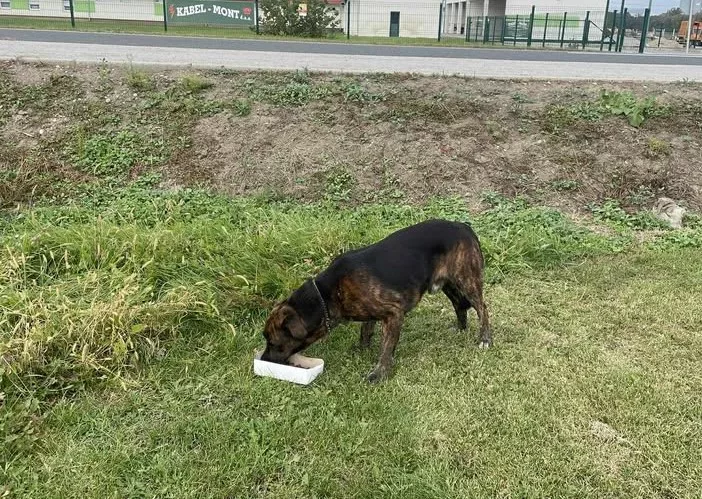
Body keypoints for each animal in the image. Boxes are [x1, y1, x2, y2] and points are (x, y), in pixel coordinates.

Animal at [261, 219, 491, 383]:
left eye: (273, 342)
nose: (263, 360)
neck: (326, 295)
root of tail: (464, 226)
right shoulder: (369, 312)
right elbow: (366, 331)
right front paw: (362, 349)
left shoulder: (394, 314)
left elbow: (386, 348)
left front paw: (380, 373)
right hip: (447, 284)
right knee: (459, 304)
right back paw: (460, 328)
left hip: (467, 280)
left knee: (483, 308)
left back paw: (484, 339)